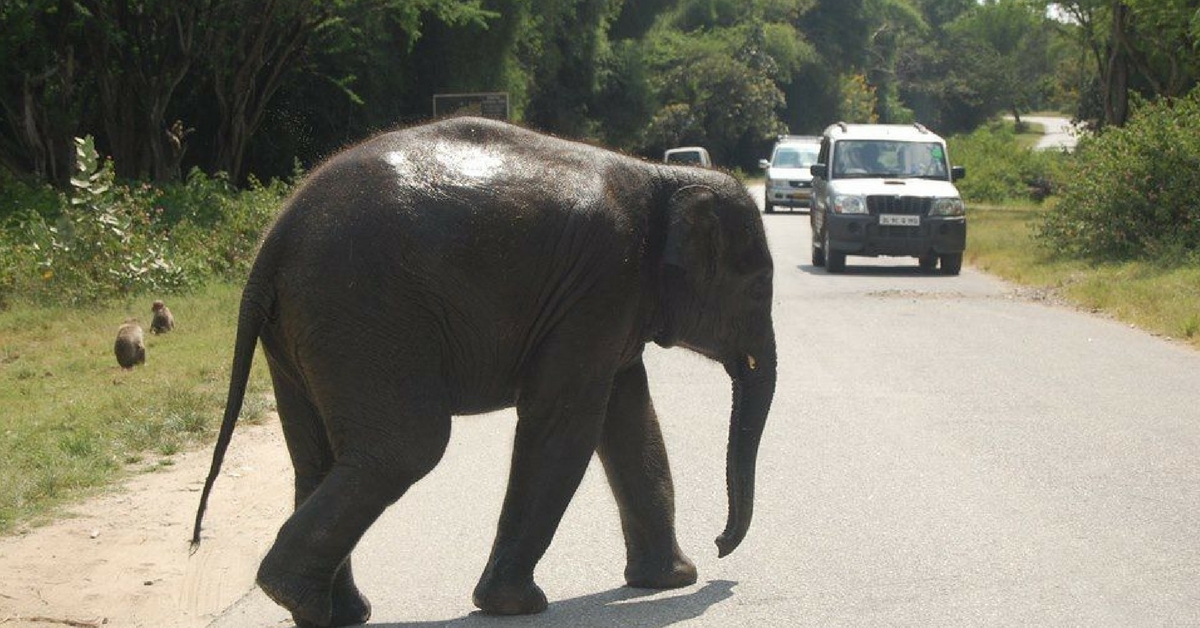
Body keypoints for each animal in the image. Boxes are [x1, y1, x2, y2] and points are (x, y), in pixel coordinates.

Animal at [189, 117, 777, 628]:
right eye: (758, 291)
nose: (721, 548)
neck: (663, 178)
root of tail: (276, 237)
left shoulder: (610, 302)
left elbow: (629, 420)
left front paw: (670, 582)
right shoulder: (603, 284)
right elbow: (565, 422)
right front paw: (516, 607)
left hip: (303, 329)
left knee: (319, 457)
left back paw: (332, 612)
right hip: (361, 311)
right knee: (407, 447)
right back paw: (299, 597)